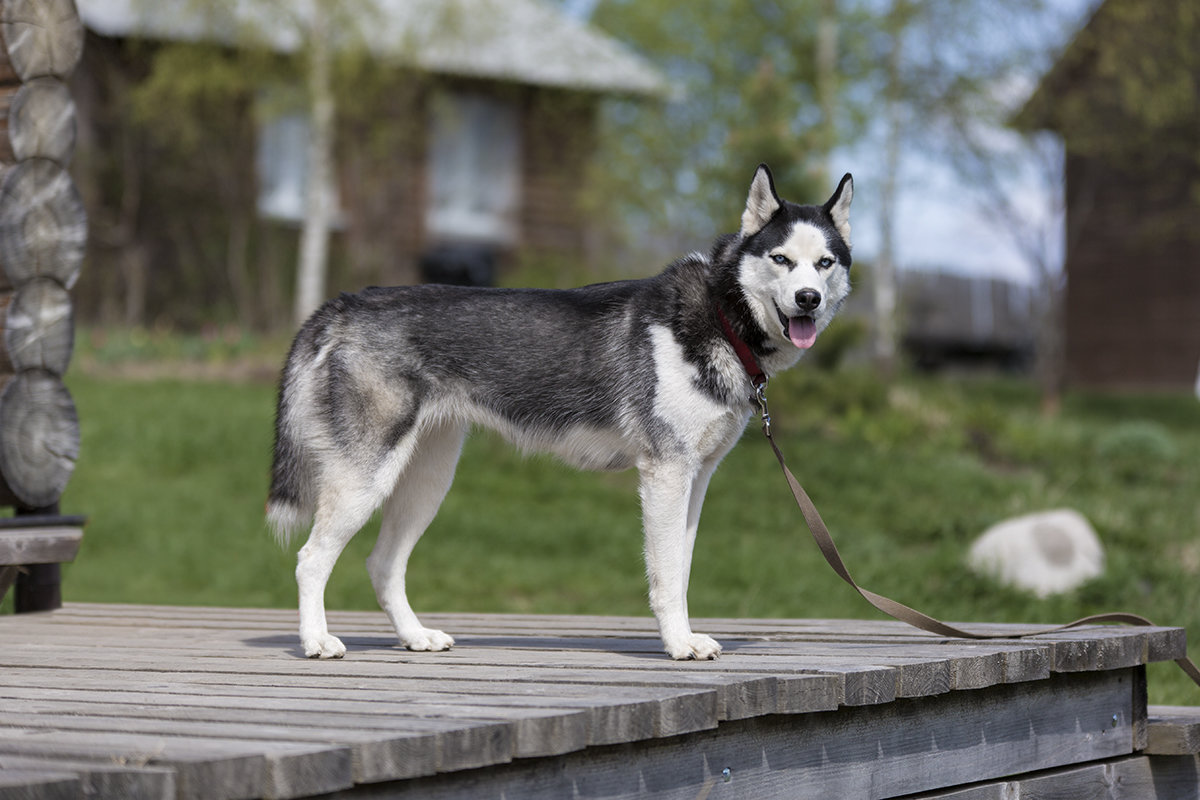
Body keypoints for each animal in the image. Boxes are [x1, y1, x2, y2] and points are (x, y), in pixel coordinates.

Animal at [272, 164, 854, 662]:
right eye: (781, 259)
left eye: (825, 263)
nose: (808, 298)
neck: (720, 314)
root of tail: (346, 303)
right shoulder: (666, 475)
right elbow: (667, 577)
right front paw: (678, 644)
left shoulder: (697, 479)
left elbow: (682, 569)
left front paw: (684, 636)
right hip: (364, 479)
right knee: (310, 560)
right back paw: (317, 642)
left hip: (426, 482)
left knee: (383, 564)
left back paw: (415, 636)